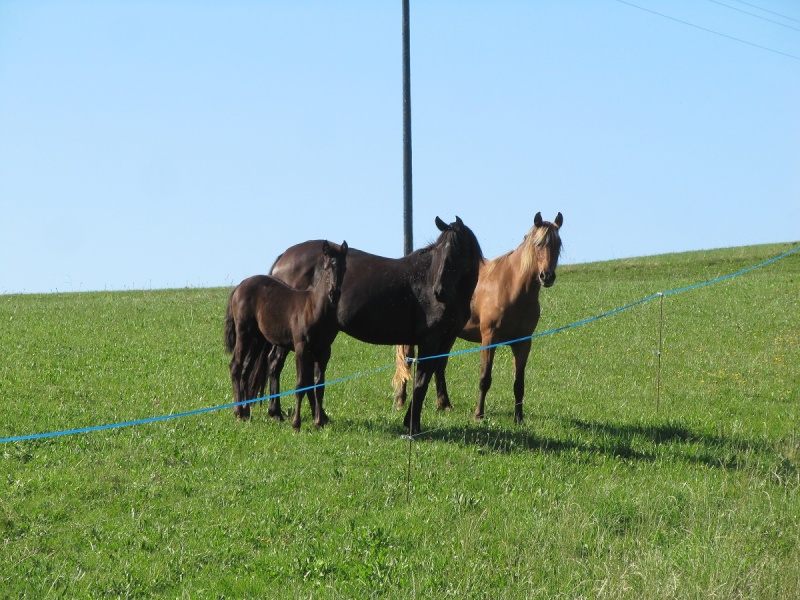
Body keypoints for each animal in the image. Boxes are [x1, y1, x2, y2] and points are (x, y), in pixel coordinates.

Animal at [270, 218, 482, 434]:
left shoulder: (446, 340)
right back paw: (278, 413)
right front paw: (413, 424)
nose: (439, 291)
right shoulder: (429, 341)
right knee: (276, 364)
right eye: (438, 251)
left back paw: (314, 417)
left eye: (456, 251)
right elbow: (422, 380)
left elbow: (433, 372)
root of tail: (283, 257)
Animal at [394, 211, 564, 422]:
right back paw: (400, 401)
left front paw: (518, 418)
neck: (511, 287)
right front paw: (478, 414)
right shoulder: (489, 338)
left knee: (439, 366)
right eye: (537, 243)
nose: (547, 276)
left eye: (558, 244)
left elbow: (519, 383)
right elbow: (485, 378)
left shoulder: (523, 342)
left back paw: (445, 404)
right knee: (406, 360)